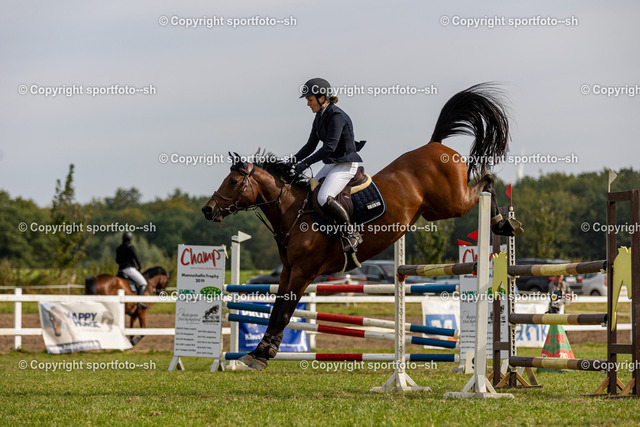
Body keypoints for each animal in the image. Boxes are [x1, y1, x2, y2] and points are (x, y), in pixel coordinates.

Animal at [201, 83, 521, 369]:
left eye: (233, 182)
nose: (208, 210)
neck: (293, 211)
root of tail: (435, 144)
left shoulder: (304, 272)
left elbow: (284, 311)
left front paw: (263, 354)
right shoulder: (289, 270)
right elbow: (277, 308)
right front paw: (257, 351)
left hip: (453, 202)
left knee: (487, 180)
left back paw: (504, 222)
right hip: (434, 212)